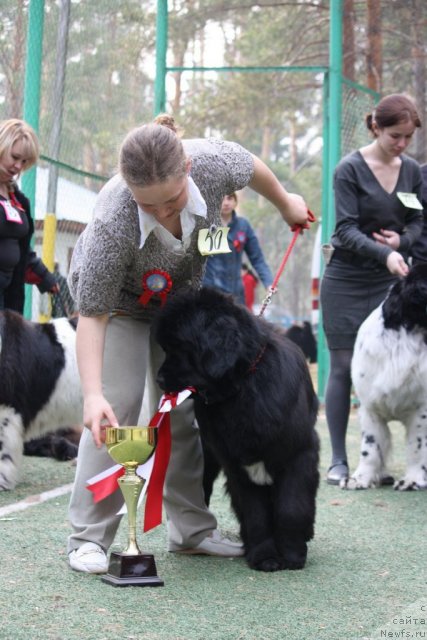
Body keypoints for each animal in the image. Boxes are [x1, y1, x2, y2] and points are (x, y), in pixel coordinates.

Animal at [155, 288, 320, 572]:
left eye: (180, 347)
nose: (158, 378)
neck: (244, 386)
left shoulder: (298, 455)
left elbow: (292, 507)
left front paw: (292, 554)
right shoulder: (237, 465)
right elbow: (255, 513)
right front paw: (264, 556)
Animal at [350, 264, 427, 490]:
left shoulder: (421, 409)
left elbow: (417, 447)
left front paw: (412, 480)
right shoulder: (369, 406)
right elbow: (370, 447)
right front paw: (360, 479)